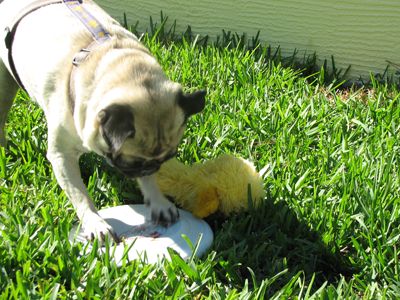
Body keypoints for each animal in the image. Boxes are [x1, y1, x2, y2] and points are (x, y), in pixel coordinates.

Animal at [0, 0, 206, 245]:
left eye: (165, 160)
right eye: (129, 163)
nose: (151, 168)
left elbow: (148, 183)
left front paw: (158, 202)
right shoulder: (62, 156)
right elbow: (80, 195)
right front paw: (95, 222)